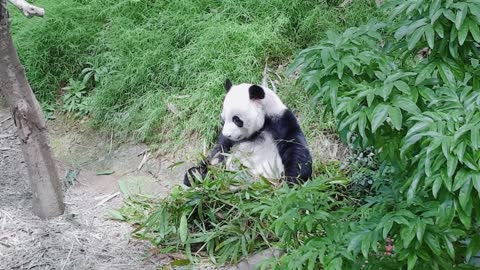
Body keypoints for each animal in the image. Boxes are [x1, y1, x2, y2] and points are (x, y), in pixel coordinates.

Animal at [183, 78, 312, 186]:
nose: (227, 134)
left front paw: (292, 180)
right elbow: (218, 151)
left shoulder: (281, 122)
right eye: (224, 119)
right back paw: (194, 175)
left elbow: (295, 147)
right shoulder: (226, 143)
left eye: (236, 120)